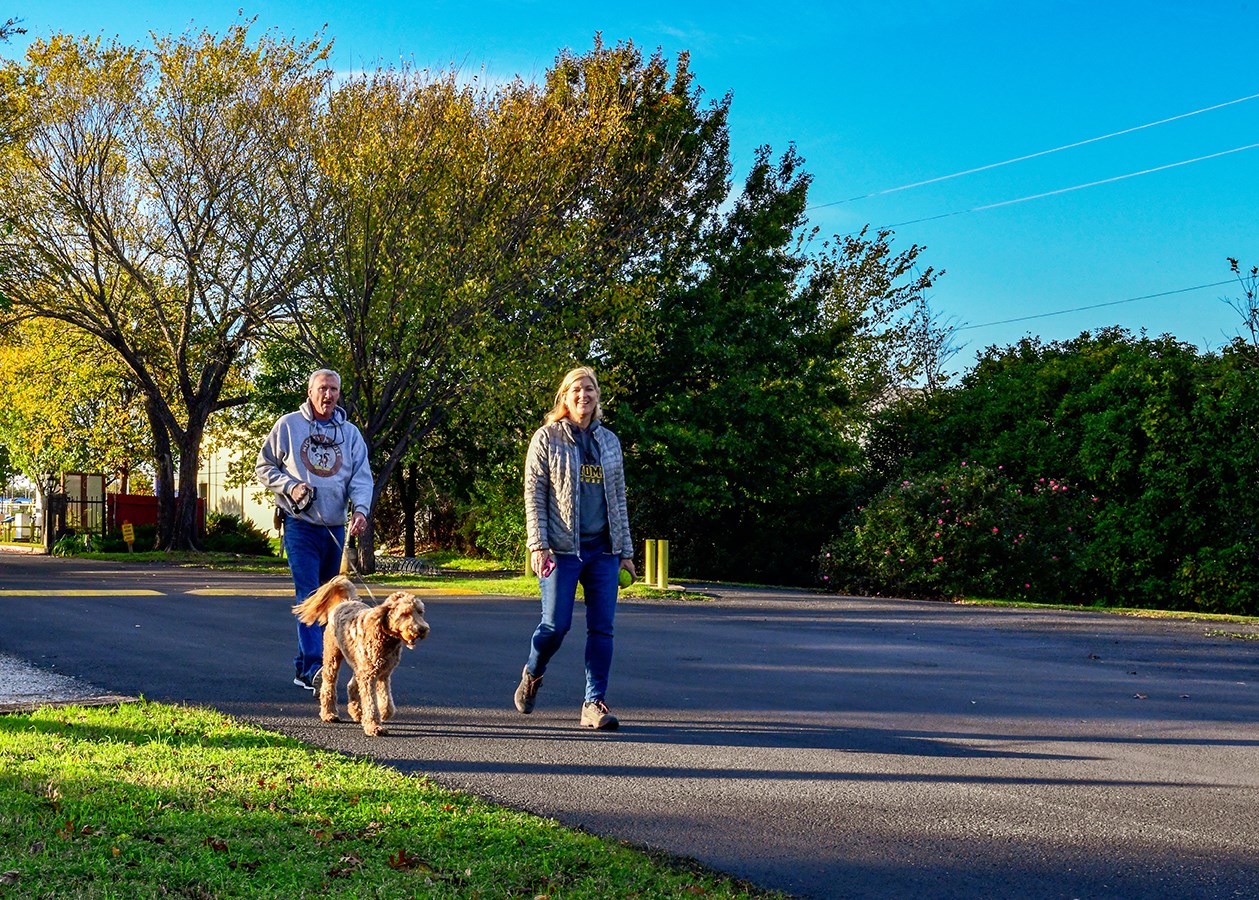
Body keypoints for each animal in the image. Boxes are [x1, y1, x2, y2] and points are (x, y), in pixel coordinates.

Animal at [292, 576, 430, 740]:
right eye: (405, 613)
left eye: (420, 612)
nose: (422, 630)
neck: (385, 636)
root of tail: (347, 601)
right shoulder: (369, 675)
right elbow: (371, 702)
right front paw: (374, 726)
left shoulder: (383, 673)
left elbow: (386, 700)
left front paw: (383, 714)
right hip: (333, 657)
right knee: (328, 685)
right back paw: (329, 713)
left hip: (359, 664)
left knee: (351, 685)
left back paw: (357, 713)